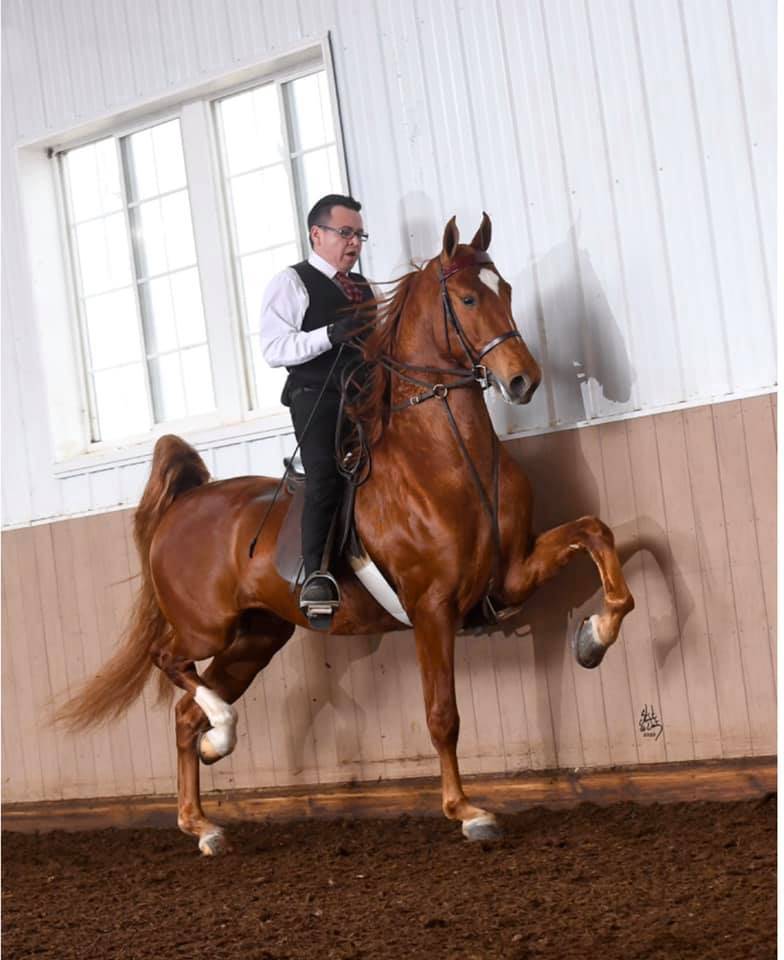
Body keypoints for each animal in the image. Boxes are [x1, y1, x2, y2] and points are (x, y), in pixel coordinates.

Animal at [57, 214, 634, 854]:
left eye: (504, 291)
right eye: (467, 298)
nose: (522, 380)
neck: (448, 460)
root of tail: (185, 505)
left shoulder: (509, 576)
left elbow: (598, 536)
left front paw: (593, 638)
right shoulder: (431, 606)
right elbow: (443, 714)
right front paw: (466, 811)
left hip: (257, 638)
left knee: (185, 715)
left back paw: (203, 820)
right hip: (207, 627)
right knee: (171, 664)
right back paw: (220, 739)